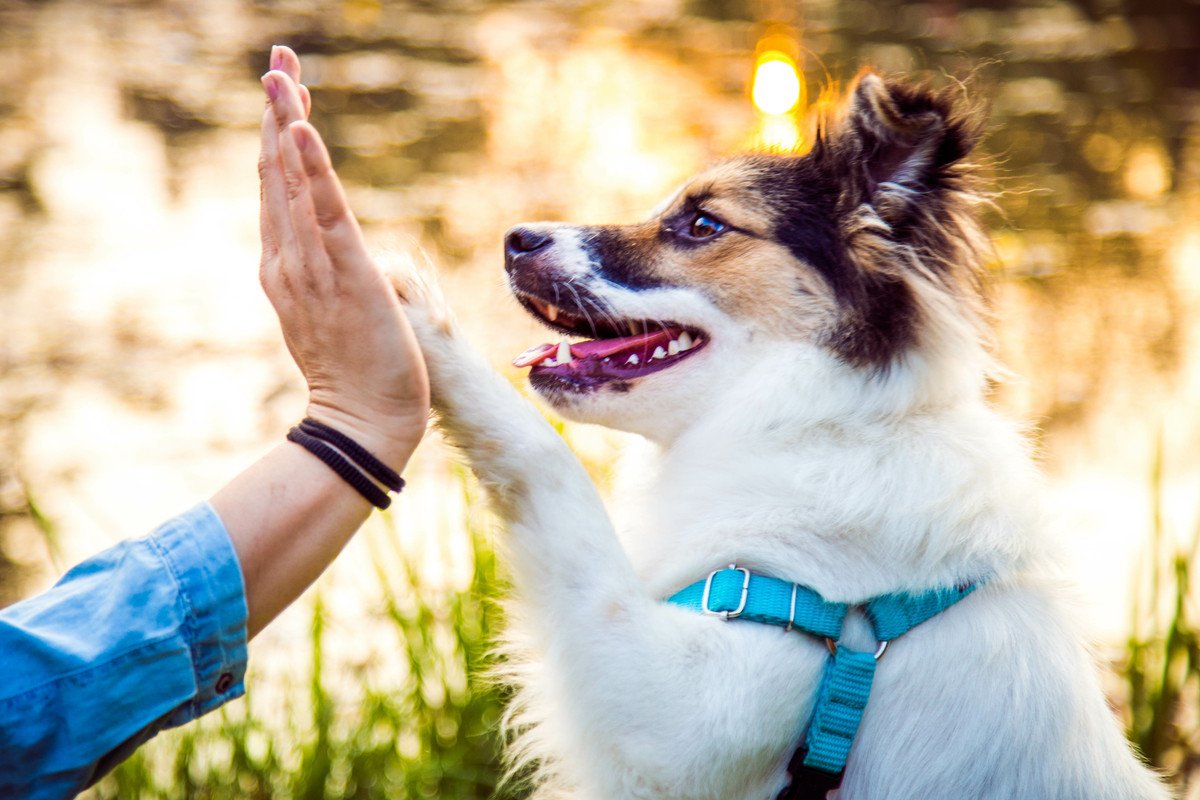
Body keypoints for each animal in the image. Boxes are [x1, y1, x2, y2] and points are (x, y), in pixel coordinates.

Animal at [388, 71, 1166, 796]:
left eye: (703, 224)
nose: (515, 239)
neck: (806, 422)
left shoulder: (683, 712)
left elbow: (548, 468)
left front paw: (419, 318)